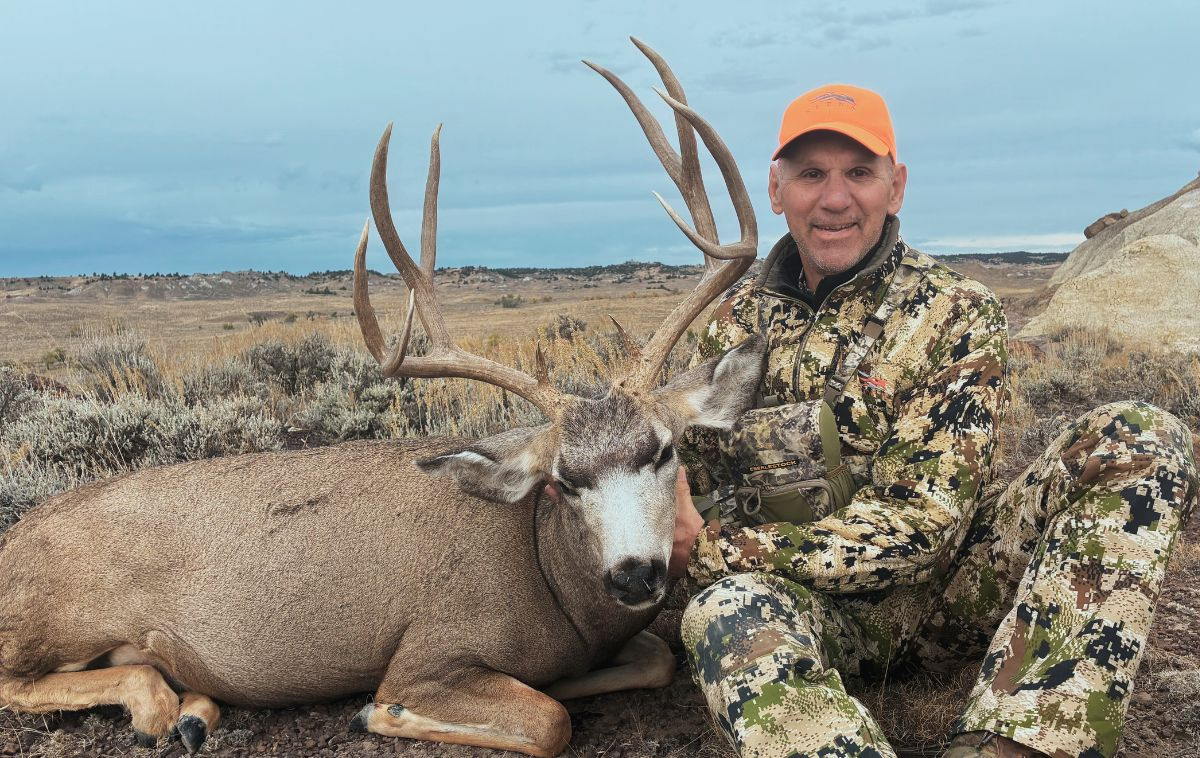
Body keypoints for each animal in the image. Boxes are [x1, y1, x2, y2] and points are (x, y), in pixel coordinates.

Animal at [0, 39, 761, 757]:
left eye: (663, 451)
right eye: (562, 482)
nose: (633, 576)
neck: (552, 580)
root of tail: (13, 539)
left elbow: (655, 657)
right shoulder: (430, 647)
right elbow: (548, 720)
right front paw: (379, 711)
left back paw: (195, 709)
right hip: (54, 619)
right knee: (23, 678)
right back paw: (160, 705)